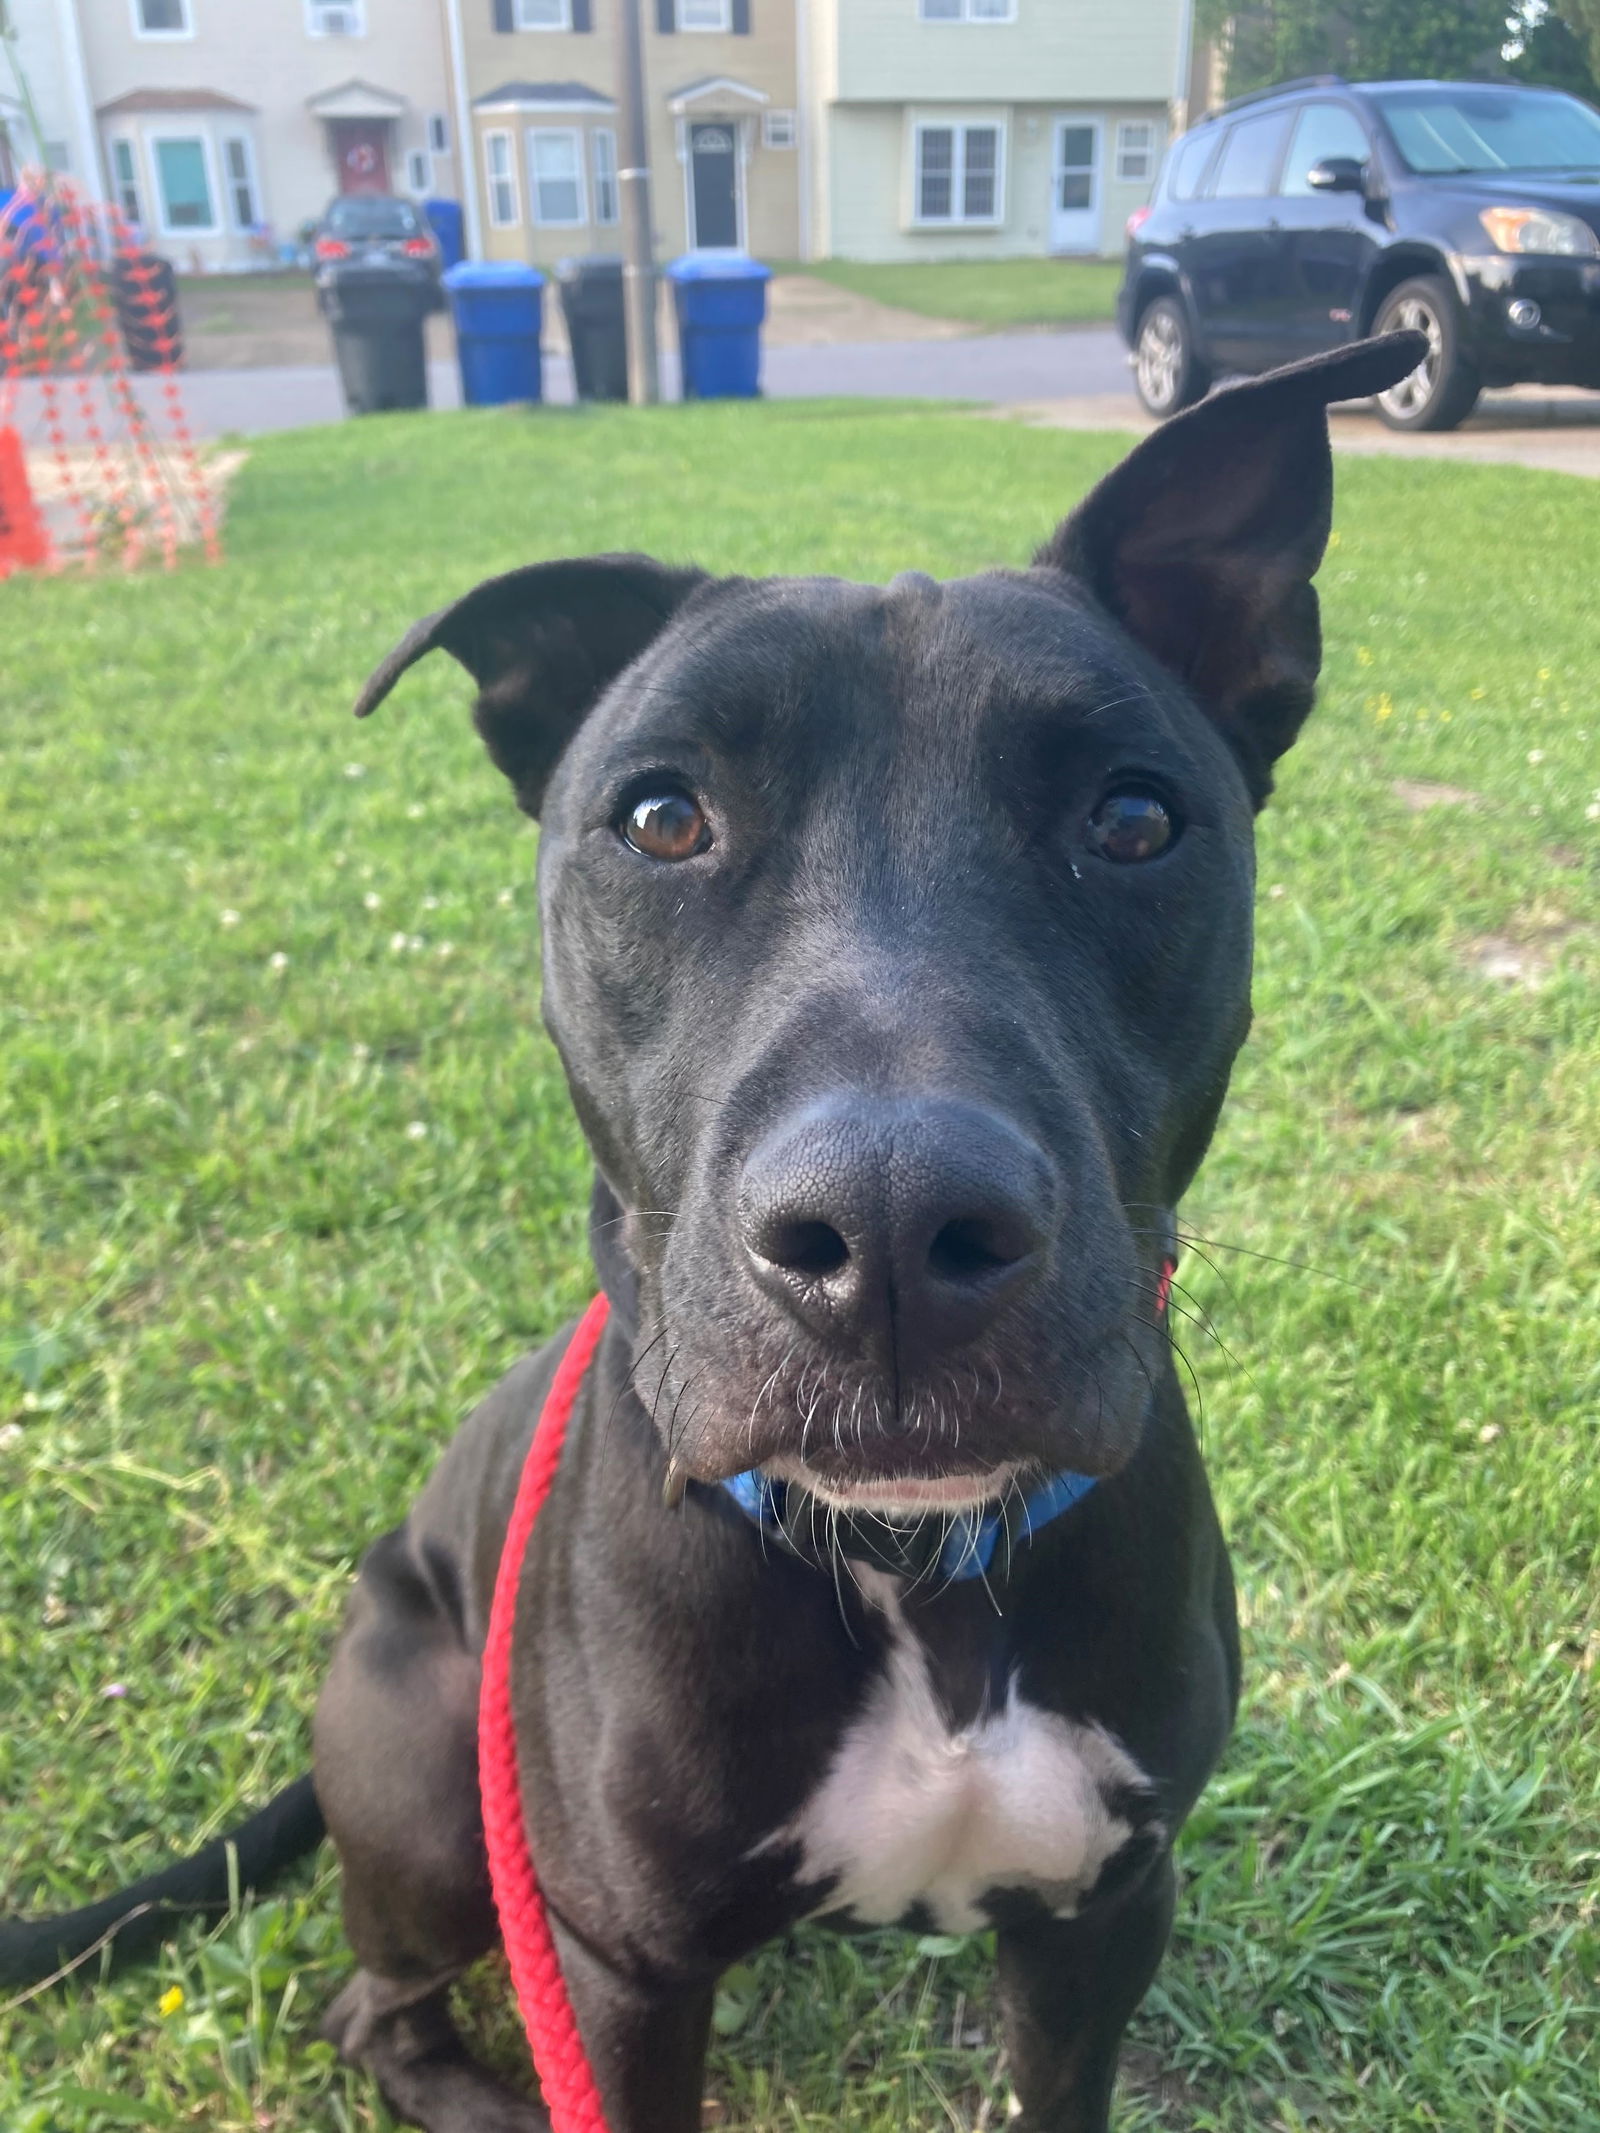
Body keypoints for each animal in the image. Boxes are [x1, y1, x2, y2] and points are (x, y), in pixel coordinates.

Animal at [3, 337, 1425, 2133]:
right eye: (662, 818)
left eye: (1133, 821)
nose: (889, 1224)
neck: (908, 1569)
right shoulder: (624, 1962)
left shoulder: (1104, 1911)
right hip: (440, 1803)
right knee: (371, 2006)